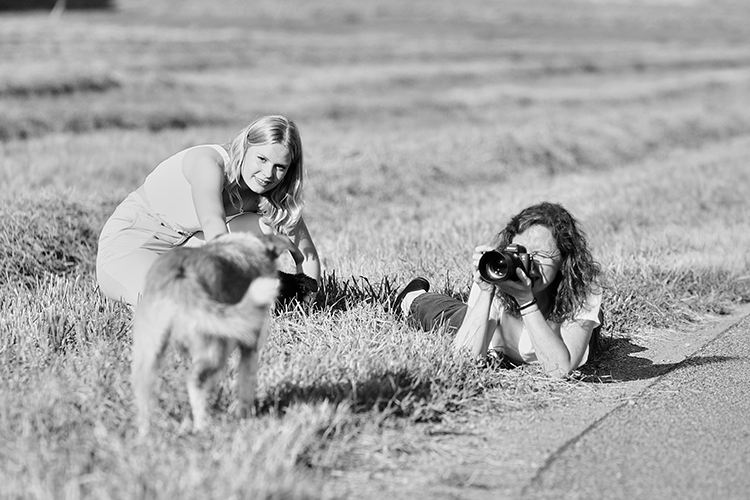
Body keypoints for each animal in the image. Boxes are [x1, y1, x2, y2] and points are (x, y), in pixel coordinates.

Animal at [129, 232, 294, 436]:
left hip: (148, 350)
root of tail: (181, 274)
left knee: (144, 389)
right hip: (214, 349)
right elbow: (246, 384)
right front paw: (244, 417)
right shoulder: (250, 347)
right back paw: (203, 427)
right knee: (195, 383)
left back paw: (145, 434)